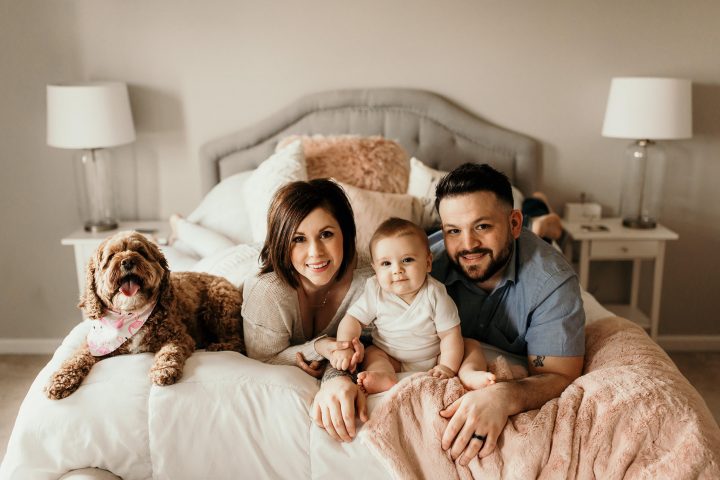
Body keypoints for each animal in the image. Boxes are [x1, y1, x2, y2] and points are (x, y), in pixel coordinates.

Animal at [47, 231, 246, 400]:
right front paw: (60, 380)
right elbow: (74, 358)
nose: (127, 261)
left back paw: (218, 346)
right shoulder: (95, 345)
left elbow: (169, 352)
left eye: (140, 252)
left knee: (237, 342)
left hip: (219, 303)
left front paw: (163, 370)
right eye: (111, 256)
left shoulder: (179, 337)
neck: (130, 314)